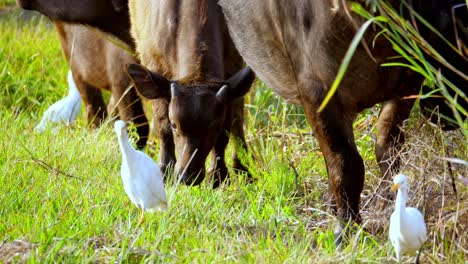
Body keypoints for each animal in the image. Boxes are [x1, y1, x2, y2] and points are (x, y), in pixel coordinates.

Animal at [126, 0, 254, 187]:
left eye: (214, 127)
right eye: (174, 125)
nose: (187, 176)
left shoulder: (233, 71)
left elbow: (225, 132)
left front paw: (217, 177)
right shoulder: (155, 68)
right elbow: (162, 127)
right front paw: (164, 172)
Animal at [220, 0, 468, 237]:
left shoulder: (406, 84)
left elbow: (387, 147)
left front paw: (387, 204)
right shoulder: (317, 90)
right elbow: (346, 163)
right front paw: (347, 228)